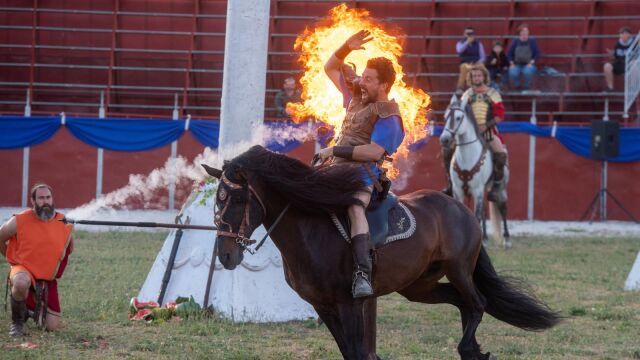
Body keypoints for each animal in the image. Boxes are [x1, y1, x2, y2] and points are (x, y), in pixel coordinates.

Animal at [202, 145, 556, 358]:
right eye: (217, 201)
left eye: (236, 199)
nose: (226, 256)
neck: (310, 231)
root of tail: (459, 207)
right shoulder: (322, 306)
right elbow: (349, 352)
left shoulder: (348, 303)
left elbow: (359, 353)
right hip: (418, 287)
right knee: (462, 304)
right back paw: (473, 349)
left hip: (458, 270)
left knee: (478, 303)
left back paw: (468, 348)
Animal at [438, 94, 512, 249]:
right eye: (445, 116)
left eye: (458, 117)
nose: (445, 139)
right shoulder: (458, 190)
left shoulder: (477, 189)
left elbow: (477, 215)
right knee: (484, 210)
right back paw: (484, 238)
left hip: (501, 188)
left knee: (502, 207)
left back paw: (507, 240)